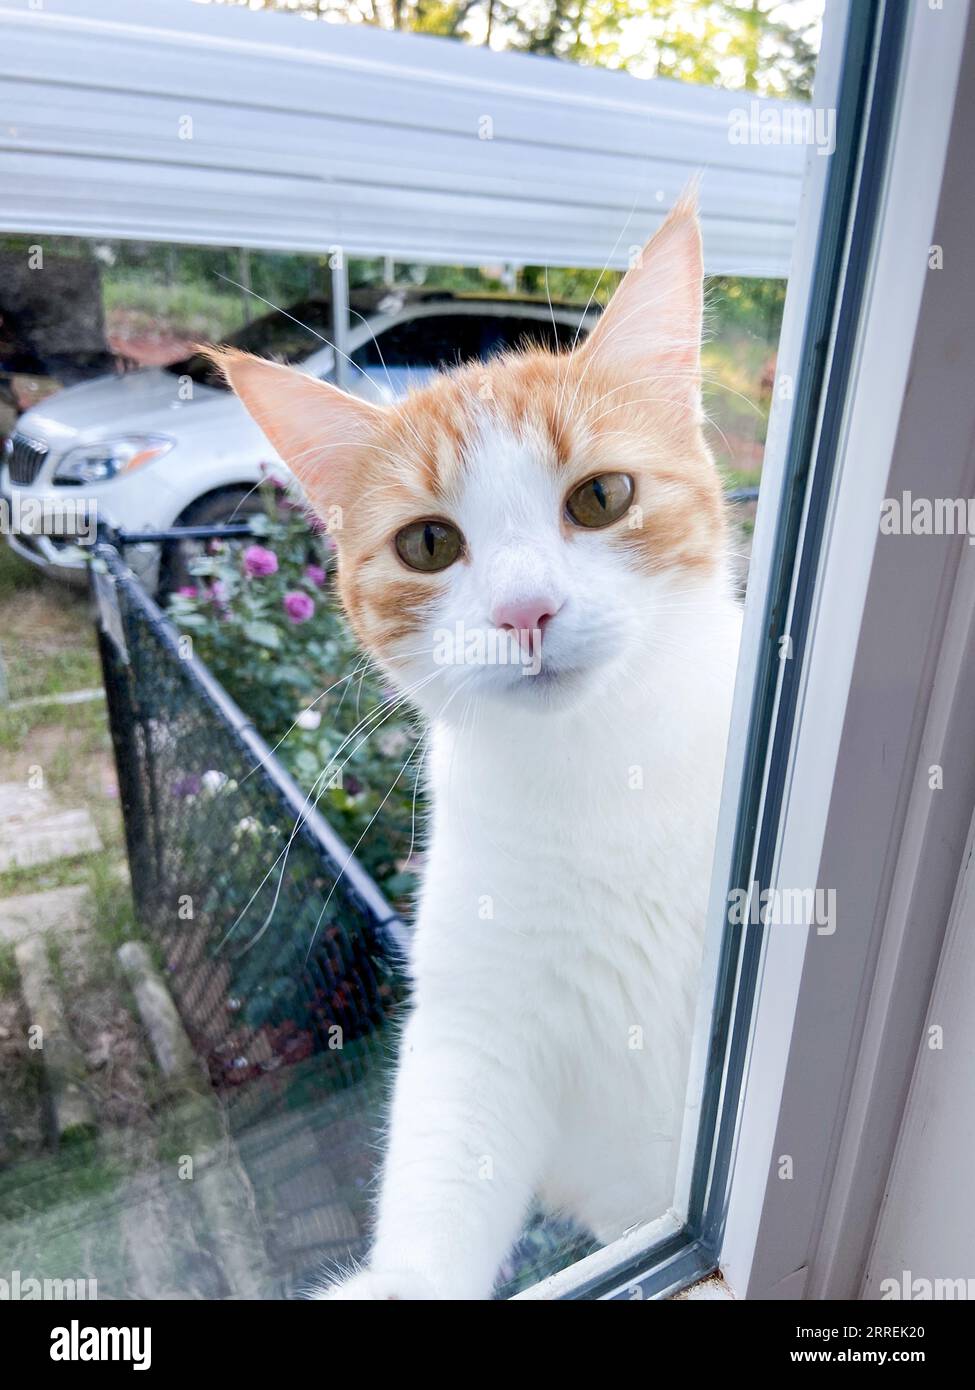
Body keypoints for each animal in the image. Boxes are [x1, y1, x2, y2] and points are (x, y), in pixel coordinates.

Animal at [214, 190, 739, 1295]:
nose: (524, 609)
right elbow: (448, 1153)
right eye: (428, 544)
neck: (602, 773)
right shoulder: (476, 1019)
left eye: (601, 497)